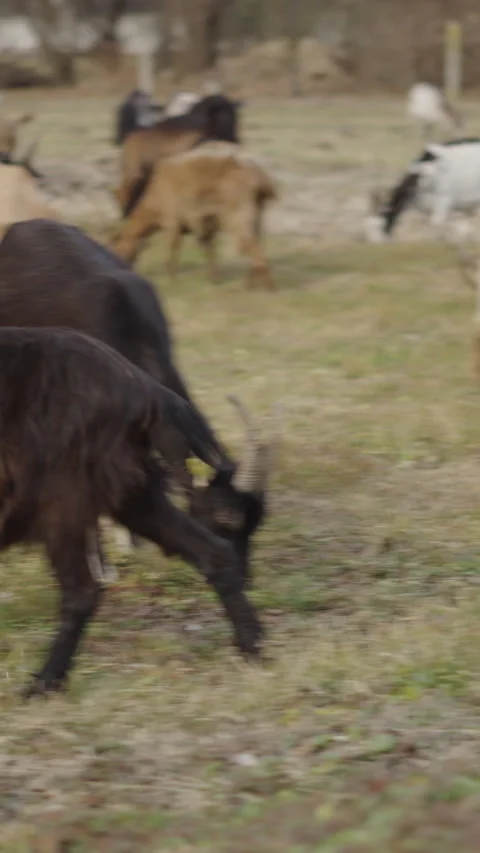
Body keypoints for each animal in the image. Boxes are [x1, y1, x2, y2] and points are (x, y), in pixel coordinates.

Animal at [0, 327, 262, 697]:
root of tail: (146, 388)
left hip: (64, 501)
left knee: (81, 592)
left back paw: (43, 684)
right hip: (129, 493)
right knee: (215, 553)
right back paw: (252, 647)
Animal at [112, 141, 277, 290]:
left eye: (117, 249)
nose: (121, 268)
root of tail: (259, 177)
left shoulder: (173, 221)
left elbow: (172, 249)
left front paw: (172, 280)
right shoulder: (204, 225)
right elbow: (209, 250)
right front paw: (214, 278)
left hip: (238, 215)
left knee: (253, 247)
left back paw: (265, 286)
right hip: (256, 214)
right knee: (256, 245)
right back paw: (253, 283)